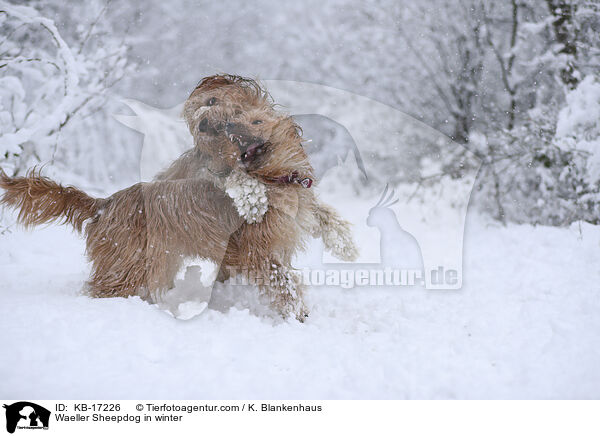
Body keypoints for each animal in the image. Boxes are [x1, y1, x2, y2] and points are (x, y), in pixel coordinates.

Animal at [0, 75, 356, 320]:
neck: (276, 179)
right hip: (126, 267)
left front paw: (346, 245)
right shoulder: (255, 251)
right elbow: (282, 281)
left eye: (254, 120)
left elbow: (323, 215)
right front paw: (298, 312)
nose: (222, 126)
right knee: (105, 288)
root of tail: (104, 204)